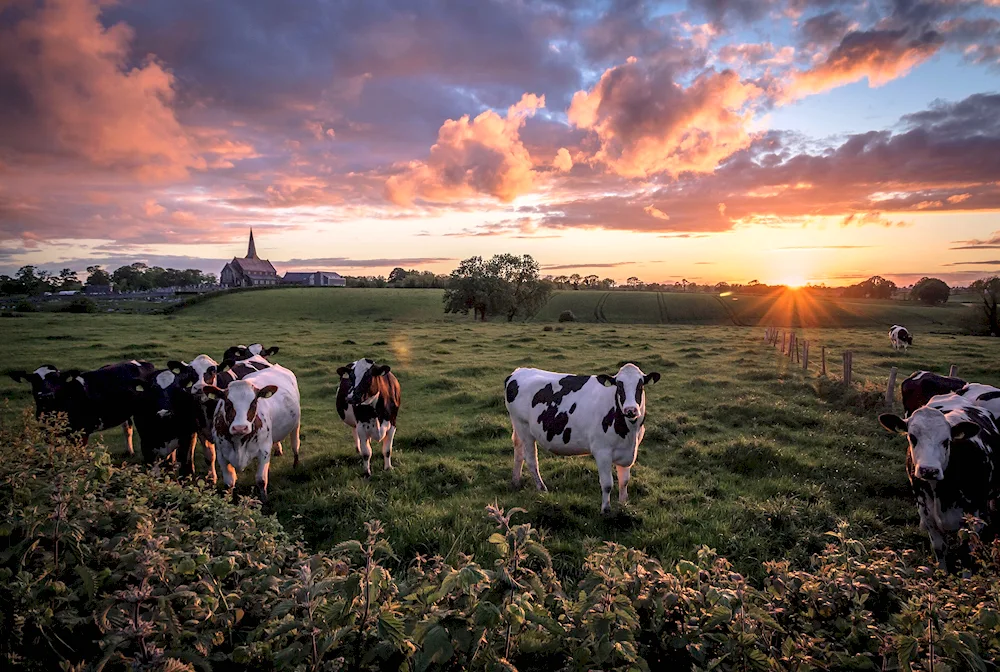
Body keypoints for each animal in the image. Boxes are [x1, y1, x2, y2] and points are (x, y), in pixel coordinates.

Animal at [7, 360, 155, 454]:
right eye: (34, 380)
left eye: (57, 379)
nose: (45, 395)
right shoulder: (47, 432)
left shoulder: (81, 432)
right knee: (127, 427)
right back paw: (129, 451)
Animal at [201, 364, 298, 502]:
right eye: (227, 402)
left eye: (254, 402)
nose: (240, 427)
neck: (239, 442)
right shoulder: (221, 454)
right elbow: (229, 483)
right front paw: (228, 501)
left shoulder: (264, 451)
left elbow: (261, 480)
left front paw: (264, 501)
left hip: (296, 426)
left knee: (295, 445)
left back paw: (295, 465)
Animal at [504, 362, 660, 516]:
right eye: (619, 386)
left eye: (640, 385)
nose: (631, 410)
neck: (629, 433)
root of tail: (519, 371)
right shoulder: (602, 451)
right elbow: (607, 484)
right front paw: (605, 510)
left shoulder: (628, 451)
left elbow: (624, 481)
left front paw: (623, 506)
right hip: (524, 427)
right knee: (531, 460)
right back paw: (542, 488)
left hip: (518, 427)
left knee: (518, 452)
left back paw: (515, 482)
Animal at [876, 396, 1000, 576]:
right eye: (912, 437)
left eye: (946, 441)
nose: (929, 470)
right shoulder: (927, 513)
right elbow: (940, 549)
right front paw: (942, 575)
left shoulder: (972, 519)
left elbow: (966, 554)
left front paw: (966, 578)